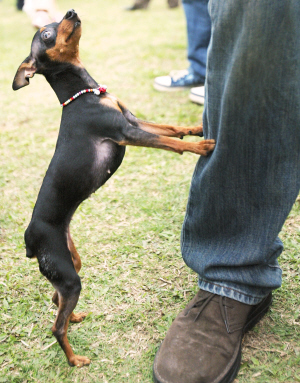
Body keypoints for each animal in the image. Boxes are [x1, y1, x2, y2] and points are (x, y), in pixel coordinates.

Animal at [12, 9, 214, 368]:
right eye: (46, 34)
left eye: (57, 20)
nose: (72, 12)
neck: (84, 95)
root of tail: (30, 238)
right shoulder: (125, 132)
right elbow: (169, 143)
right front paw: (201, 147)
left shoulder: (132, 121)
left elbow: (169, 128)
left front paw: (195, 128)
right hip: (69, 276)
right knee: (56, 327)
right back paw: (75, 360)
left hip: (69, 264)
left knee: (55, 299)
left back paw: (75, 317)